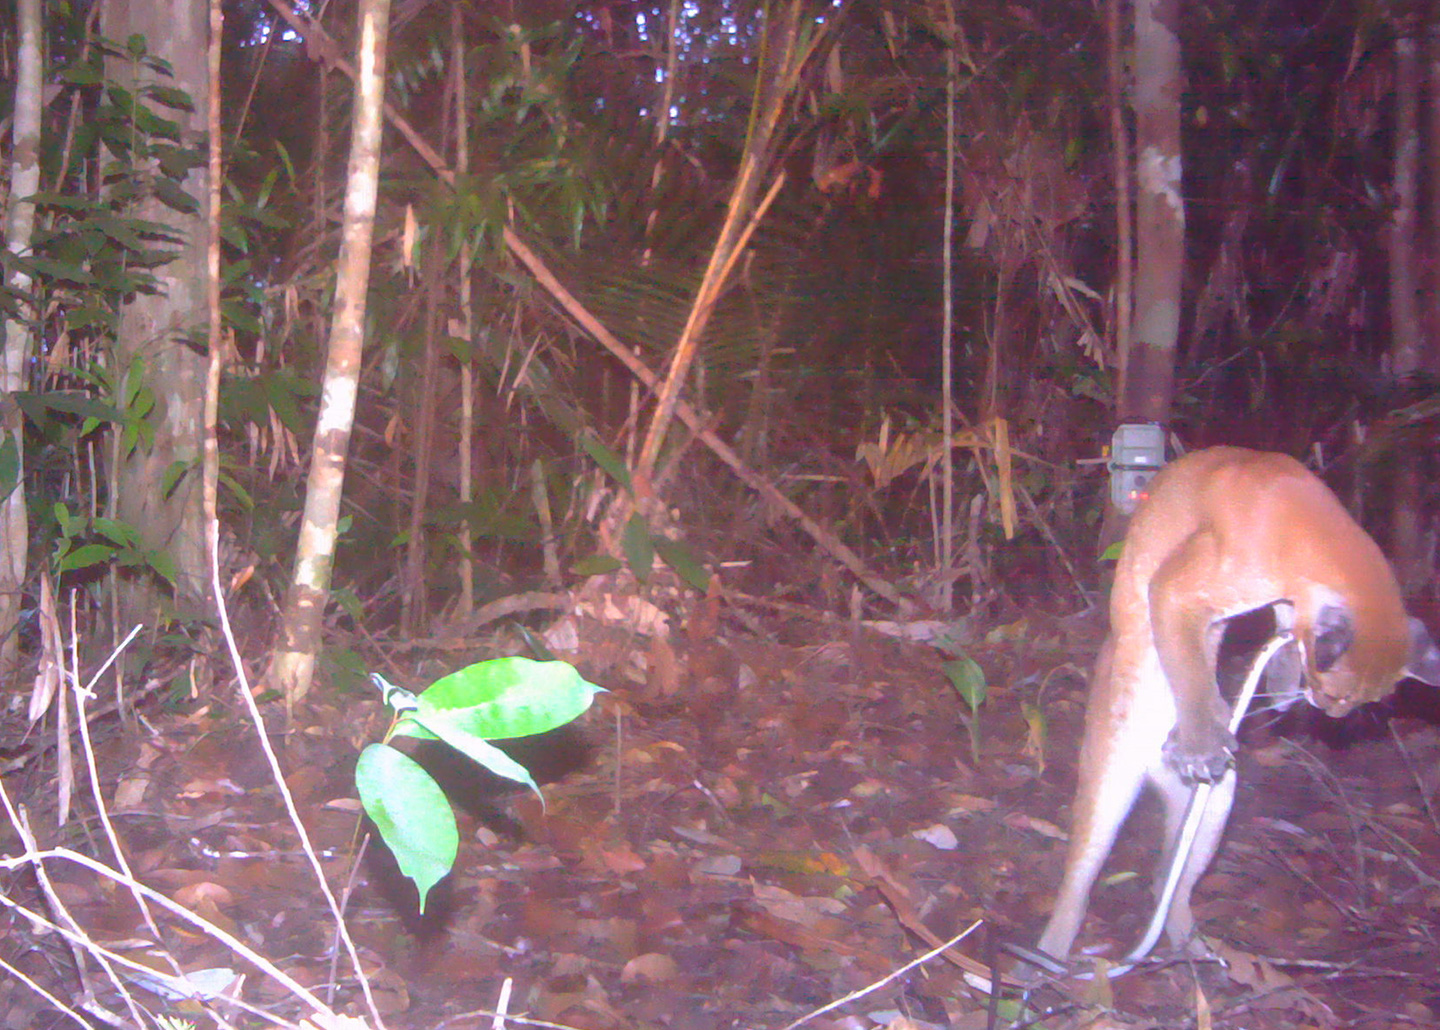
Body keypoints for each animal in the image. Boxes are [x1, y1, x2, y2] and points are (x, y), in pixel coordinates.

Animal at [1036, 446, 1440, 968]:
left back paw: (1194, 950)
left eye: (1357, 702)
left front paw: (1283, 683)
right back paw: (1047, 959)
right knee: (1078, 882)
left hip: (1215, 806)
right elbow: (1190, 670)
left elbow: (1284, 629)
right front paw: (1201, 740)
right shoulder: (1174, 589)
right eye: (1337, 696)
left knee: (1167, 883)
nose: (1329, 714)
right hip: (1110, 781)